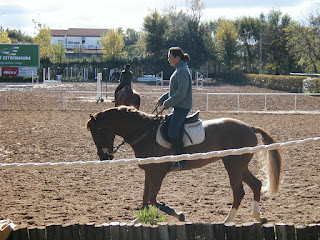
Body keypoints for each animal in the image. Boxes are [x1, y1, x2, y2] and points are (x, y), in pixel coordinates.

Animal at [85, 107, 282, 223]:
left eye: (97, 131)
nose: (104, 157)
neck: (145, 133)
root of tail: (249, 126)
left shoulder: (158, 172)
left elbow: (152, 199)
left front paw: (178, 214)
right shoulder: (149, 171)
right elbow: (145, 199)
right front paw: (137, 220)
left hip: (233, 165)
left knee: (239, 192)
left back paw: (227, 221)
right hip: (239, 166)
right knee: (256, 184)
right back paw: (257, 216)